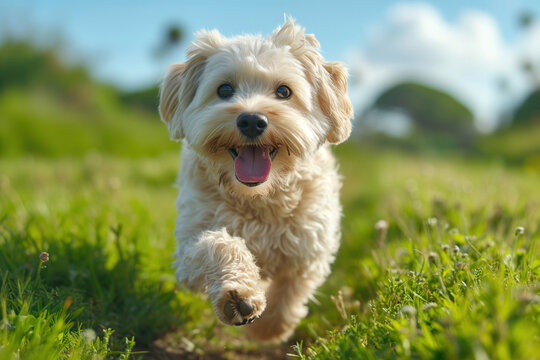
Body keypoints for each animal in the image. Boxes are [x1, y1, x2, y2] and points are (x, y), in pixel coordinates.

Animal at [158, 18, 352, 342]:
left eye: (284, 91)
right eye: (224, 89)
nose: (251, 120)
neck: (259, 198)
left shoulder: (310, 247)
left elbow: (291, 289)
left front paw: (270, 328)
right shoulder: (187, 248)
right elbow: (218, 243)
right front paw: (240, 295)